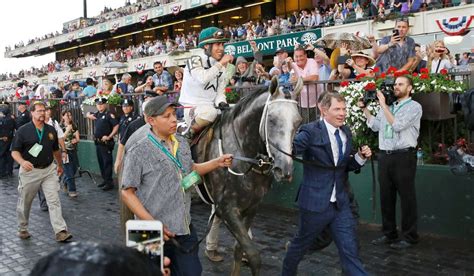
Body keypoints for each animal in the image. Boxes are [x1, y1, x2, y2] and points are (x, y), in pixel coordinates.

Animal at [193, 76, 302, 276]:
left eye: (298, 121)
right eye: (272, 120)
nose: (284, 170)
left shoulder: (252, 206)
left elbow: (239, 249)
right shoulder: (227, 208)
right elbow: (253, 254)